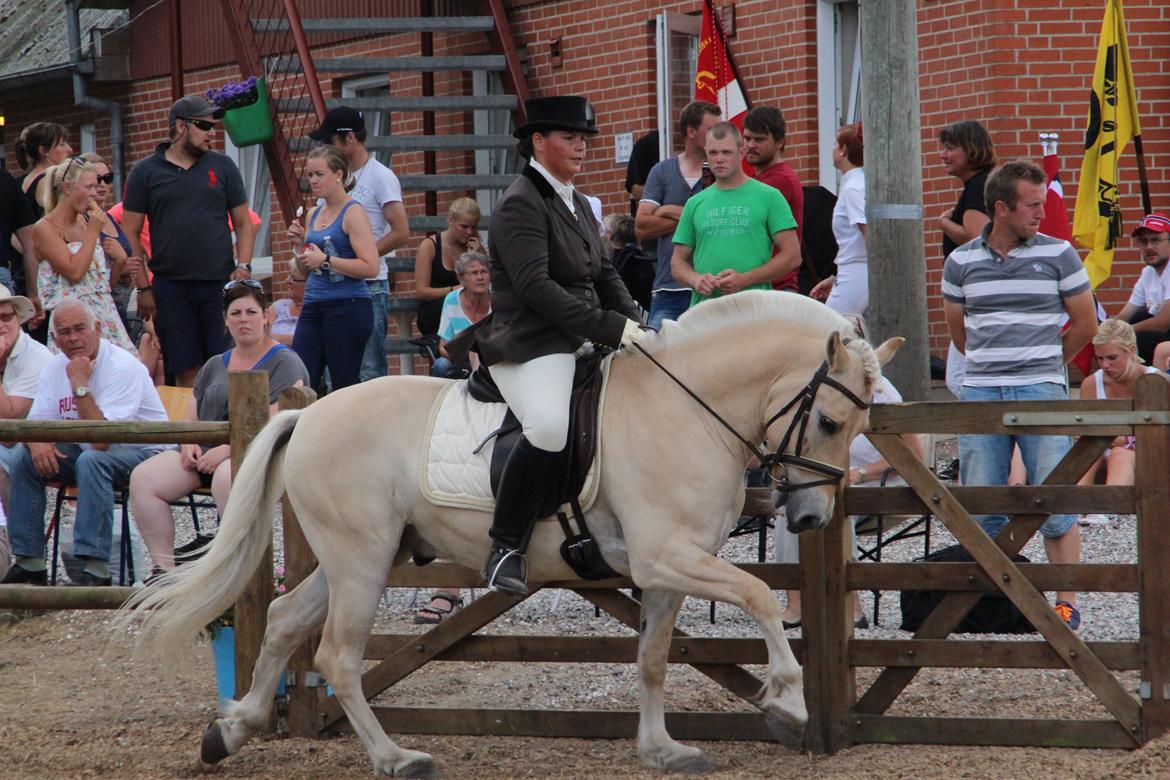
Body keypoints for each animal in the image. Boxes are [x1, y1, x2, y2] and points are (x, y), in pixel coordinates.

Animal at [125, 291, 893, 776]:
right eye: (829, 421)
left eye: (860, 427)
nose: (810, 520)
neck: (686, 407)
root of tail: (307, 413)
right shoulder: (666, 556)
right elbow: (760, 596)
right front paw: (787, 701)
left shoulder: (673, 565)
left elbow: (651, 658)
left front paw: (662, 750)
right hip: (362, 559)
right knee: (338, 656)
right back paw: (396, 759)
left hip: (364, 556)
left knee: (287, 620)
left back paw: (231, 730)